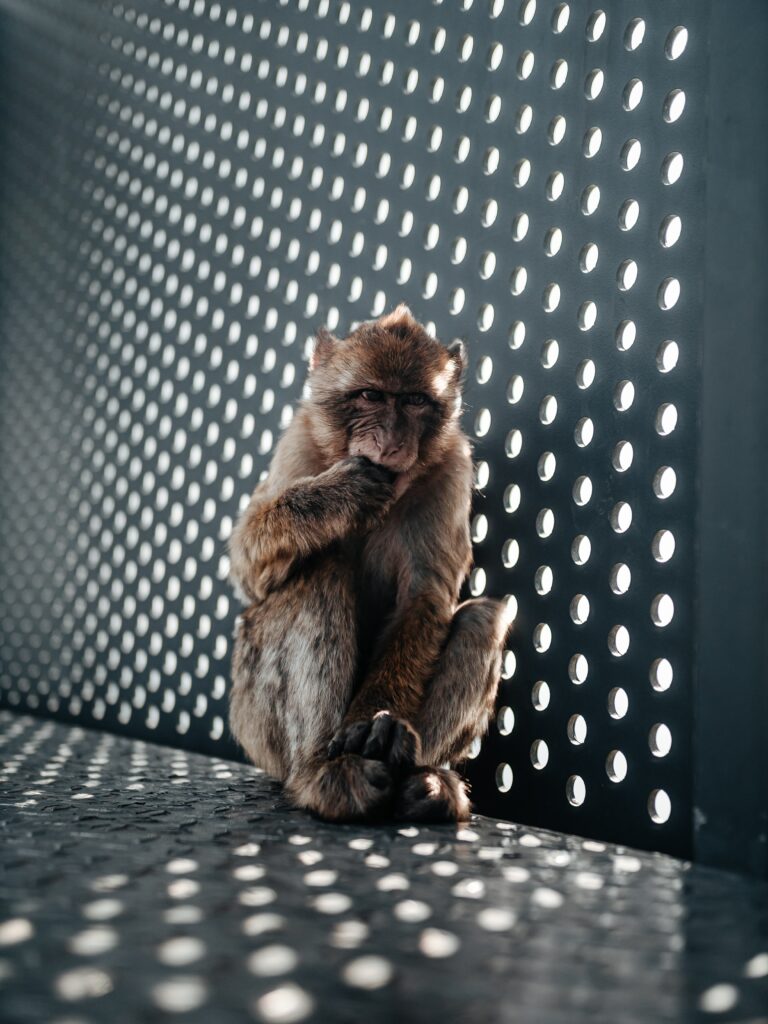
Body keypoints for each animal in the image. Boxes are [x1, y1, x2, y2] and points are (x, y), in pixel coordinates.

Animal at [227, 305, 511, 823]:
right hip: (254, 725)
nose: (393, 441)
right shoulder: (298, 443)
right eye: (371, 396)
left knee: (483, 618)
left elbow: (424, 598)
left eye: (415, 401)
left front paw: (379, 721)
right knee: (319, 575)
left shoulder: (452, 471)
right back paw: (323, 772)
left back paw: (421, 781)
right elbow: (247, 571)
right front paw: (338, 496)